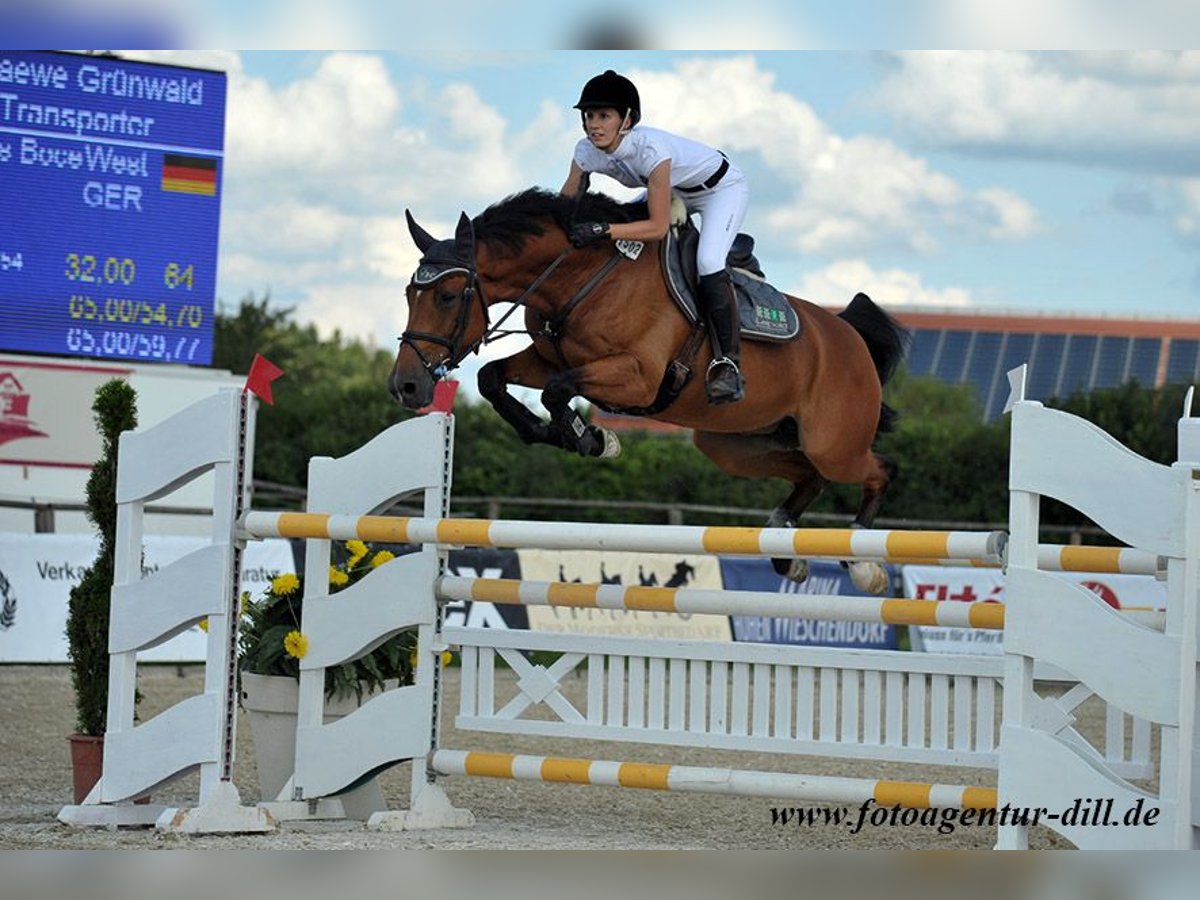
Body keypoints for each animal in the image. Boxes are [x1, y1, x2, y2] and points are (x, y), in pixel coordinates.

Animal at [388, 188, 902, 592]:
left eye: (446, 297)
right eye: (409, 294)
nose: (406, 386)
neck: (579, 276)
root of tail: (847, 334)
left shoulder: (636, 376)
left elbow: (556, 391)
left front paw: (591, 438)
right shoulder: (549, 358)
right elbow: (493, 378)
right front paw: (563, 434)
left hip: (833, 443)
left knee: (879, 470)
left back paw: (862, 565)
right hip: (734, 444)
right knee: (809, 477)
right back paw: (785, 556)